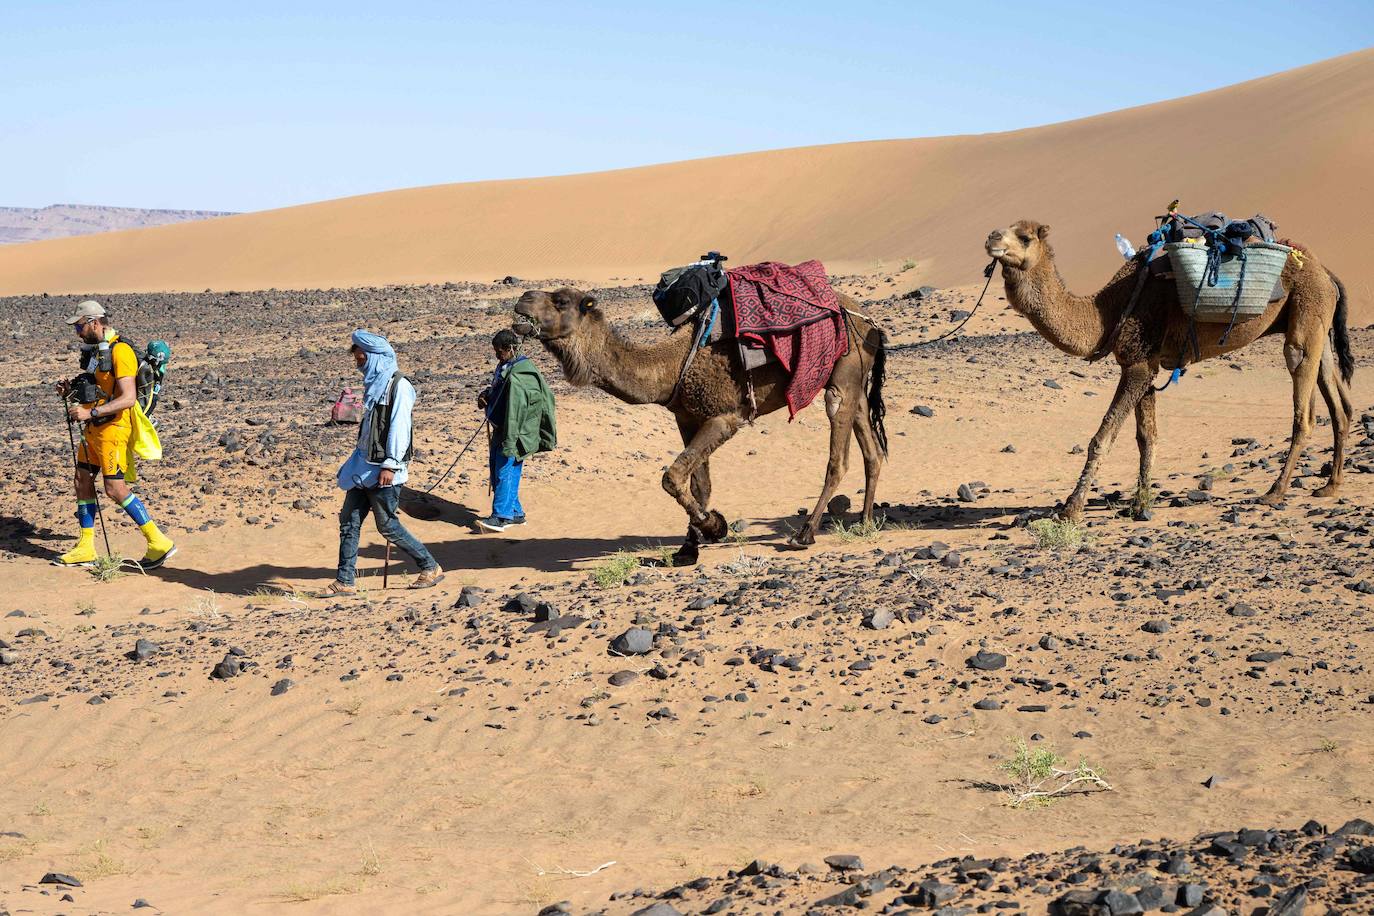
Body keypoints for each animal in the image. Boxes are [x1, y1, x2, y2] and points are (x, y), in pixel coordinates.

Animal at [516, 287, 890, 563]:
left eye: (561, 300)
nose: (522, 299)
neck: (671, 366)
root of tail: (869, 322)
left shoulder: (725, 416)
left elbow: (672, 476)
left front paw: (712, 526)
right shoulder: (687, 418)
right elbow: (699, 484)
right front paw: (689, 545)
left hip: (843, 372)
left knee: (838, 455)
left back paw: (805, 533)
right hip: (857, 382)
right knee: (872, 451)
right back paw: (865, 523)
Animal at [989, 219, 1352, 521]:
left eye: (1024, 236)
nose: (991, 237)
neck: (1108, 311)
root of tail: (1326, 272)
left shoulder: (1137, 364)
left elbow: (1103, 436)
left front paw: (1071, 508)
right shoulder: (1144, 365)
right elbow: (1146, 437)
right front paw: (1140, 504)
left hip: (1307, 308)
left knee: (1302, 400)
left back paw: (1275, 492)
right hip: (1317, 322)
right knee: (1339, 403)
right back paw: (1330, 485)